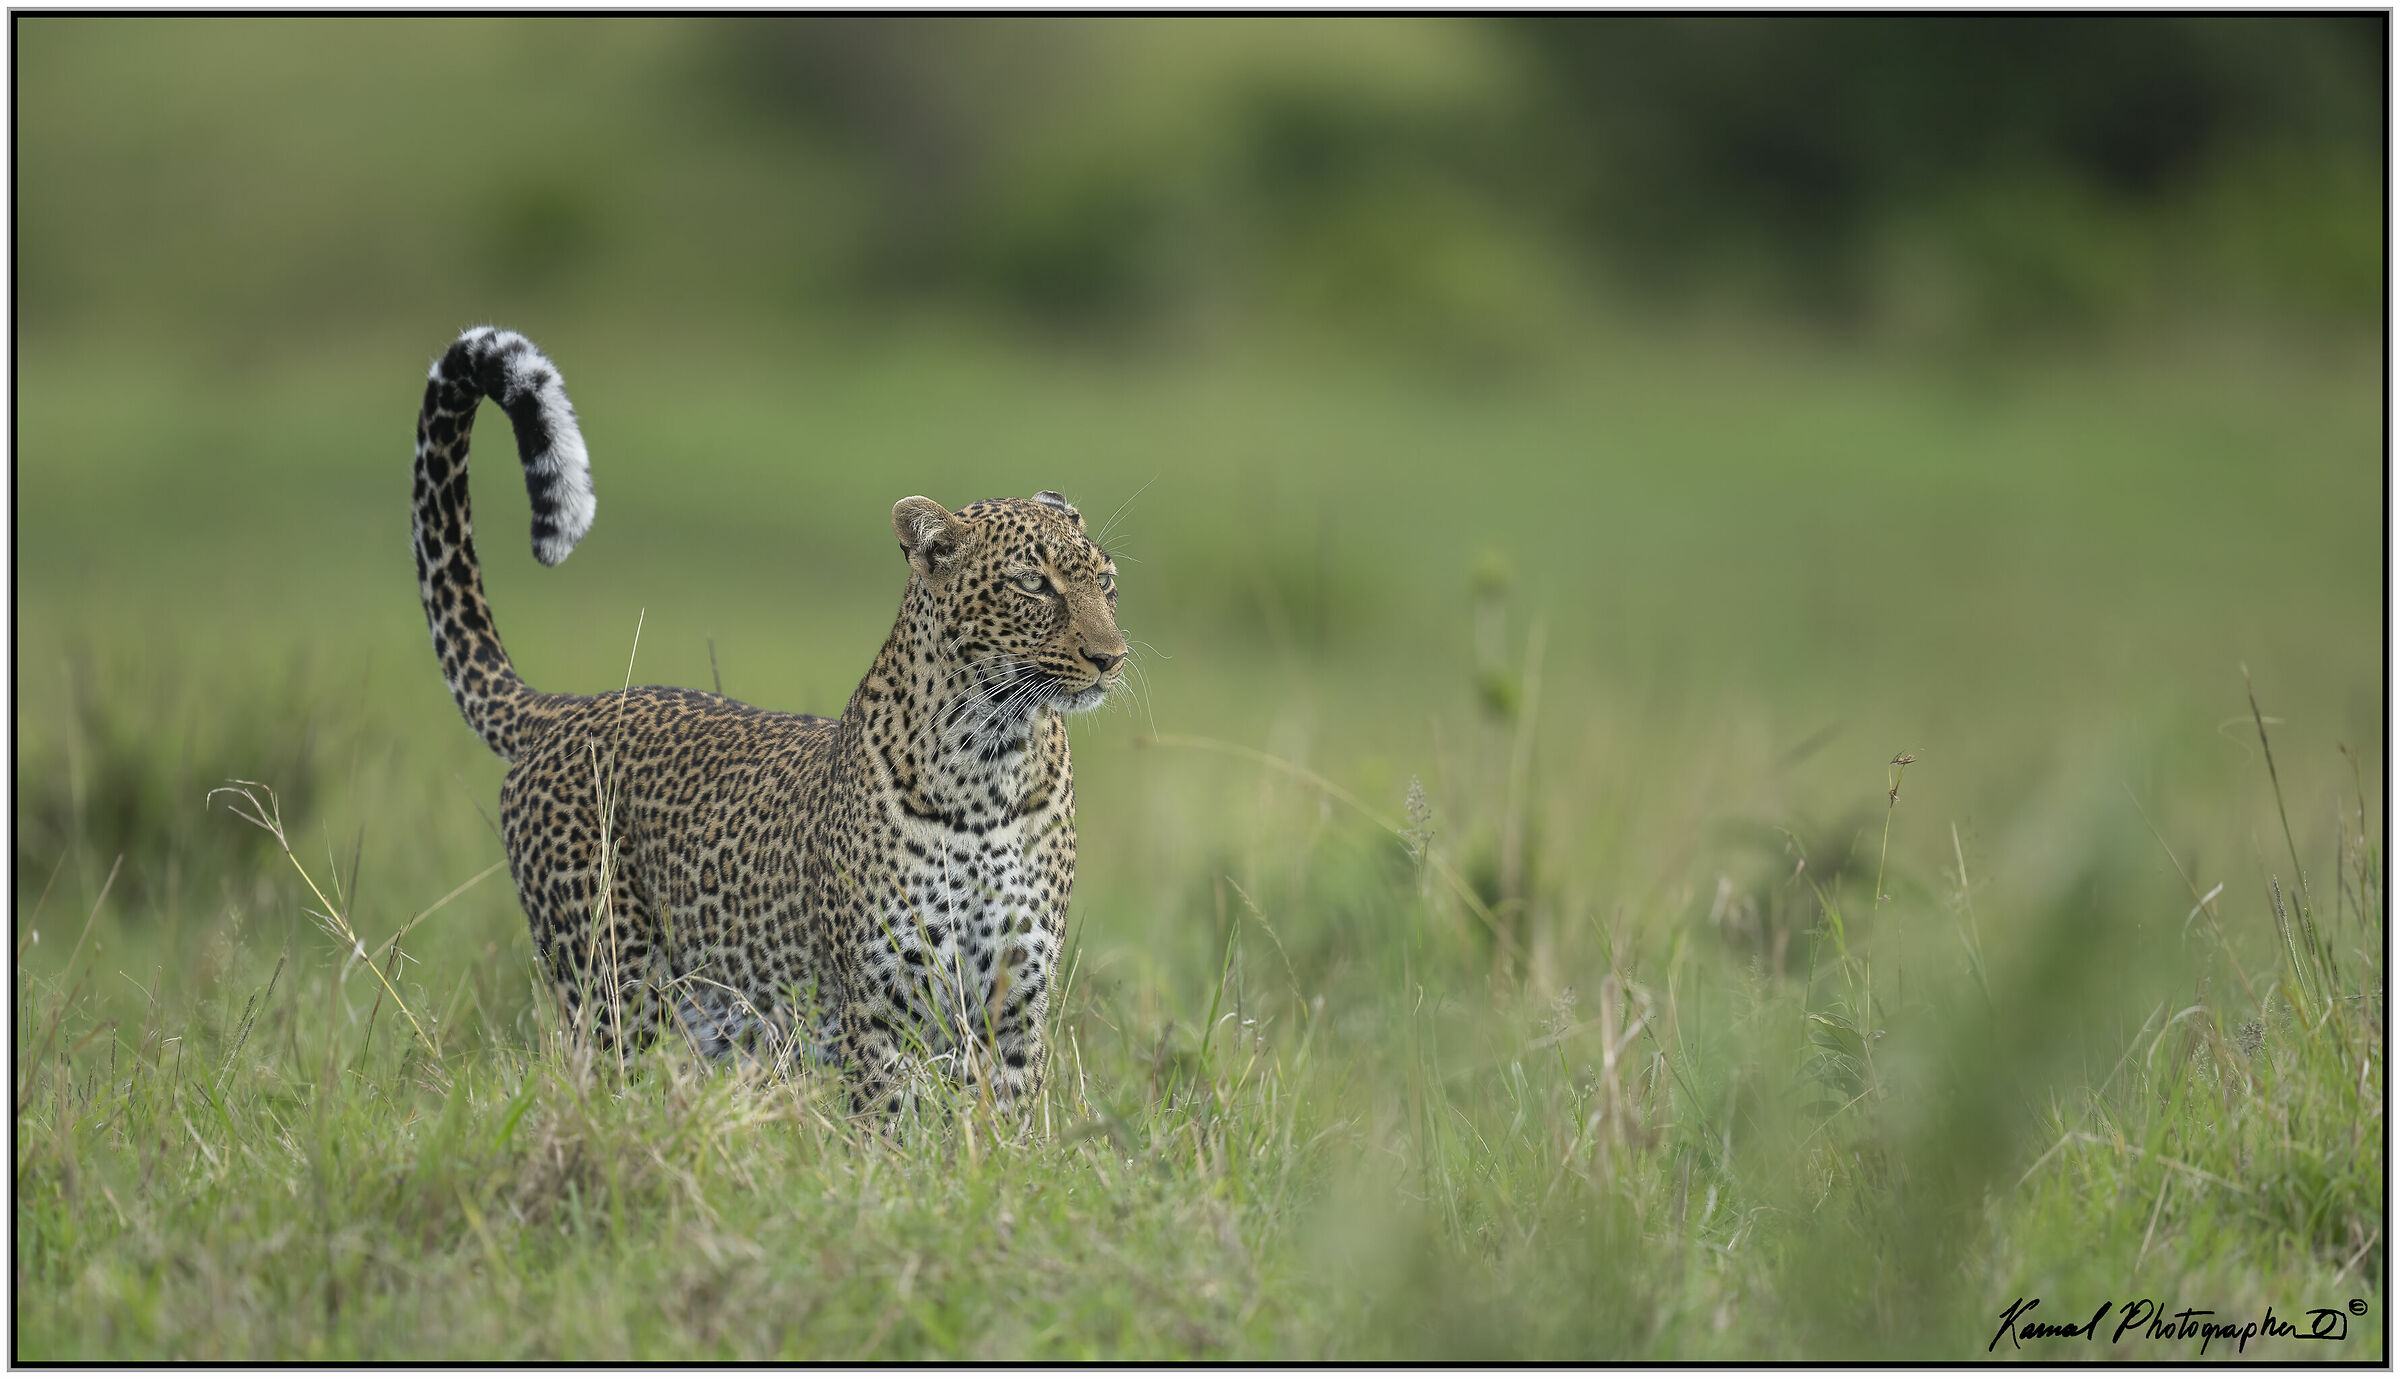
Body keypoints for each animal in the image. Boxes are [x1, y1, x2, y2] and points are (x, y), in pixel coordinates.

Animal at [410, 325, 1127, 1120]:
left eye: (1107, 583)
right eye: (1034, 584)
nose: (1112, 657)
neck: (992, 759)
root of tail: (567, 709)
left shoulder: (1016, 1002)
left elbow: (1002, 1125)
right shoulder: (882, 1009)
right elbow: (893, 1130)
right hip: (610, 984)